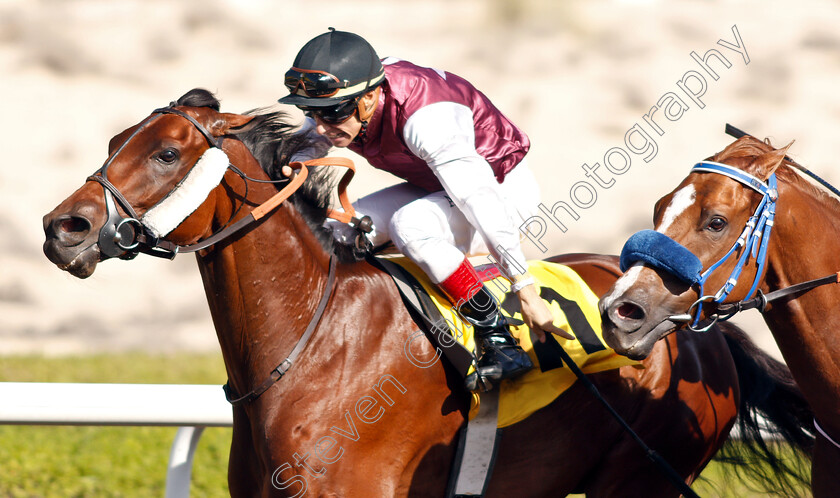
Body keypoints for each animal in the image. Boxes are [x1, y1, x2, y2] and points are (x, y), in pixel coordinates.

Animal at [44, 90, 812, 498]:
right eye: (115, 141)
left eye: (168, 152)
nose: (62, 228)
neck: (313, 343)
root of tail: (703, 325)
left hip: (639, 479)